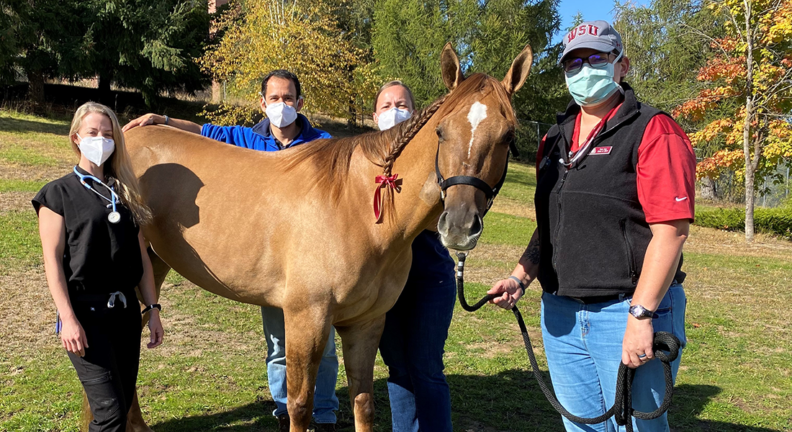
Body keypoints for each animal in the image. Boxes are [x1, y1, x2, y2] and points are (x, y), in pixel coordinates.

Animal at [101, 43, 533, 432]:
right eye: (441, 131)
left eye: (508, 136)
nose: (458, 226)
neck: (356, 208)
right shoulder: (305, 319)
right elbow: (299, 406)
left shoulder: (366, 324)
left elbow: (363, 403)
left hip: (154, 268)